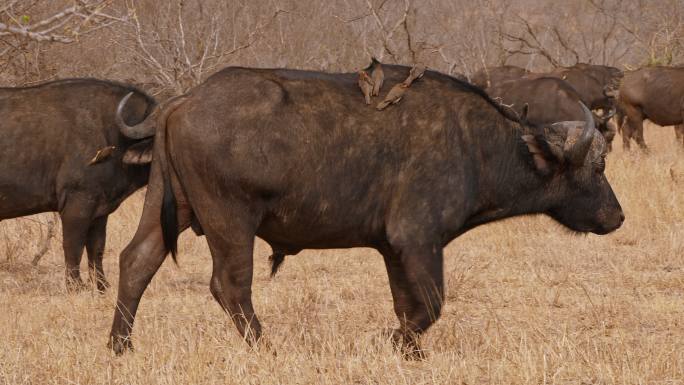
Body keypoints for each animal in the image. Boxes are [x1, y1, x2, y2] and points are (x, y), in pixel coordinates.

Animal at [0, 79, 155, 292]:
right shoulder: (77, 206)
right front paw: (75, 285)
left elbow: (97, 248)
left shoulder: (100, 211)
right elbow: (73, 245)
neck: (114, 136)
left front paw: (102, 285)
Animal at [108, 63, 624, 356]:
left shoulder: (393, 250)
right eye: (598, 167)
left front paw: (410, 354)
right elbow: (430, 304)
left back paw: (120, 346)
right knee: (230, 286)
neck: (478, 145)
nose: (616, 216)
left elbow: (408, 307)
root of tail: (182, 101)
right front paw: (390, 344)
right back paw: (264, 349)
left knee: (136, 262)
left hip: (168, 205)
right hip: (229, 220)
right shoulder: (417, 240)